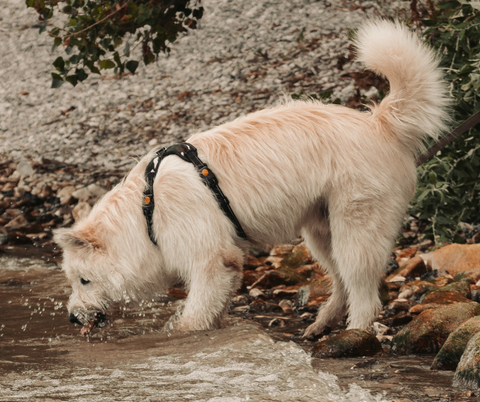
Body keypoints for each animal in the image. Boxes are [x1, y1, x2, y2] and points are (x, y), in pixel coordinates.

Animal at [54, 20, 448, 338]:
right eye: (74, 281)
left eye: (84, 279)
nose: (72, 318)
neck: (145, 210)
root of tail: (379, 123)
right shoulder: (227, 262)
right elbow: (213, 308)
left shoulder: (210, 259)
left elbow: (192, 317)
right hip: (322, 231)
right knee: (340, 283)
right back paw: (321, 324)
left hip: (355, 229)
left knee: (364, 292)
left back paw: (355, 334)